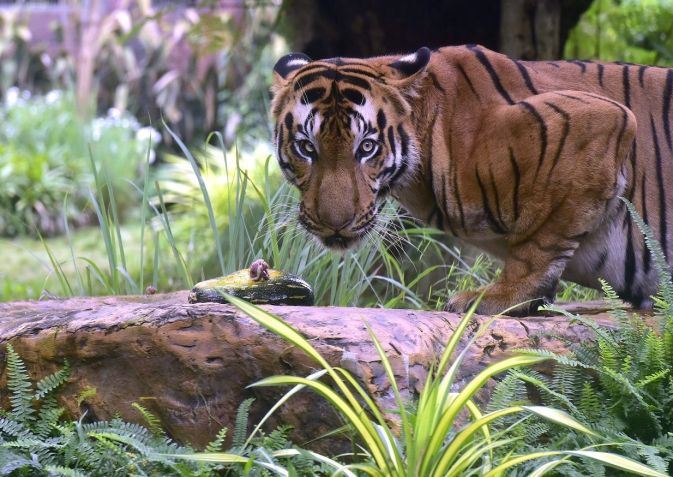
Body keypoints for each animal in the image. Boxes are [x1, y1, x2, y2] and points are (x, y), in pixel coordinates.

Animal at [270, 44, 673, 316]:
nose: (335, 224)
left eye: (366, 147)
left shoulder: (600, 118)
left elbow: (538, 243)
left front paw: (500, 297)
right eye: (307, 147)